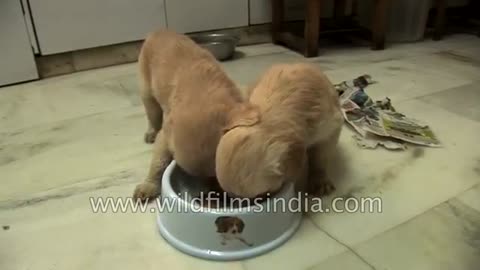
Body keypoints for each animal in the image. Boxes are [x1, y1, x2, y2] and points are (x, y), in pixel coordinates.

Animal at [131, 30, 258, 202]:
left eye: (217, 174)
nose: (214, 195)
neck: (203, 91)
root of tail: (159, 30)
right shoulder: (165, 136)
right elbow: (159, 162)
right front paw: (148, 186)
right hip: (147, 92)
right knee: (152, 116)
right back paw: (150, 133)